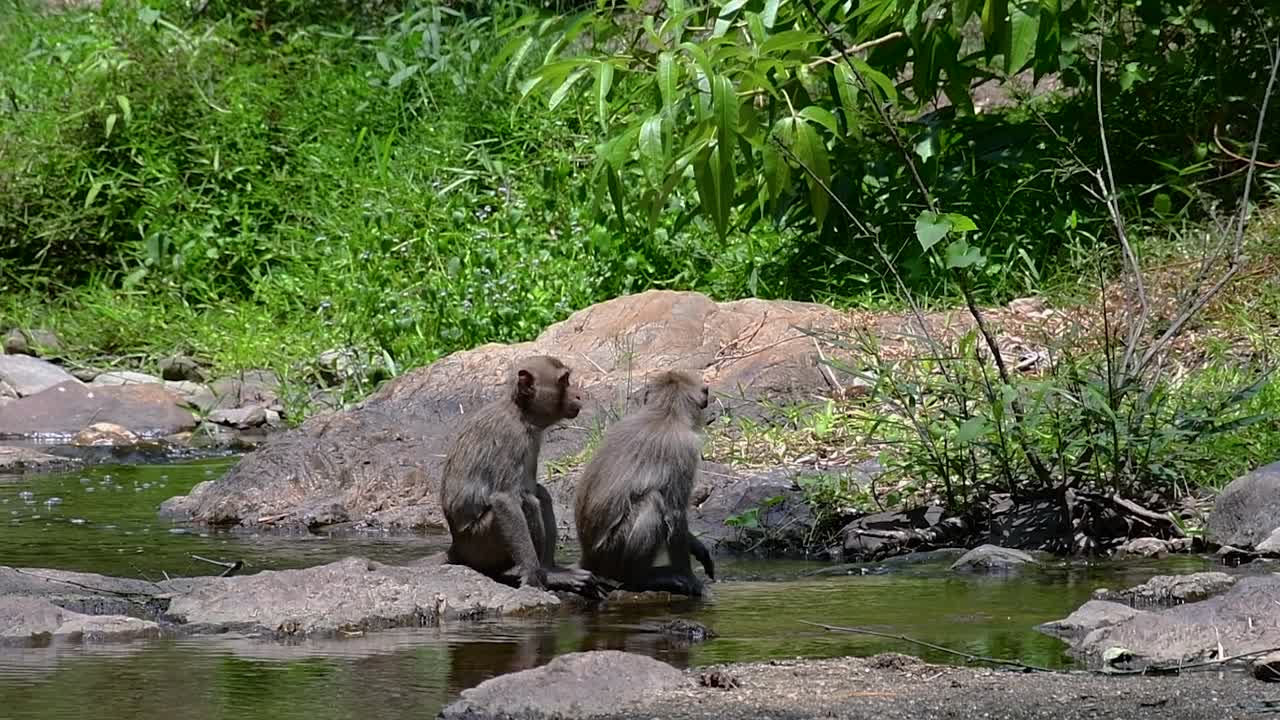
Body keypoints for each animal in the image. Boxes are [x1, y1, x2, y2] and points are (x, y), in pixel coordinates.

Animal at [439, 355, 609, 599]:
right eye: (564, 381)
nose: (578, 395)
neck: (521, 414)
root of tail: (456, 548)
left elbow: (533, 488)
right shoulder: (511, 437)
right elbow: (505, 500)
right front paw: (533, 578)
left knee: (538, 496)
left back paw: (550, 570)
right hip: (479, 544)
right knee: (525, 502)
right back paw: (545, 574)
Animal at [573, 369, 717, 597]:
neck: (666, 413)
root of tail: (588, 559)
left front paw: (697, 547)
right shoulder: (684, 448)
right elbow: (675, 514)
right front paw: (689, 577)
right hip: (612, 552)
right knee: (653, 501)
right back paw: (640, 579)